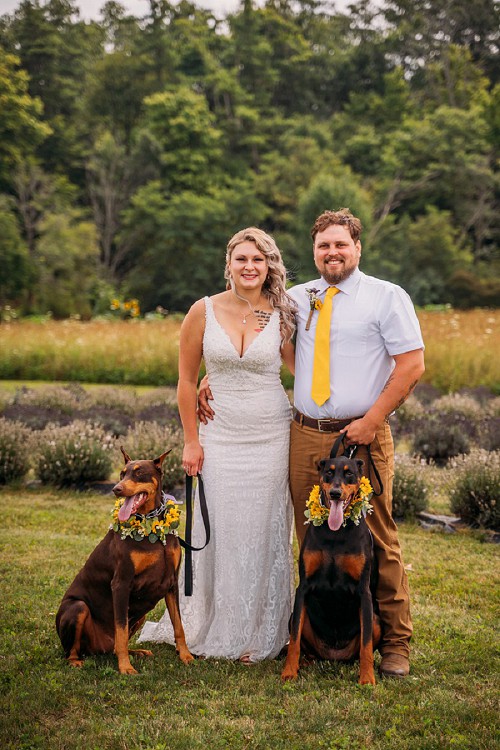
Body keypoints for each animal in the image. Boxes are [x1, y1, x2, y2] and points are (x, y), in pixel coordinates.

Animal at [56, 446, 193, 676]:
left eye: (139, 473)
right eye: (122, 474)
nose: (116, 489)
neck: (152, 528)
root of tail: (99, 649)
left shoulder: (172, 583)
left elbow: (179, 625)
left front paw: (186, 655)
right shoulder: (121, 583)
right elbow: (120, 628)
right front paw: (125, 667)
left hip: (141, 616)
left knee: (114, 645)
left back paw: (137, 652)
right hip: (77, 608)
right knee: (73, 650)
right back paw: (77, 661)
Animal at [280, 458, 380, 688]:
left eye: (349, 473)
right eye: (329, 472)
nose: (335, 493)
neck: (336, 532)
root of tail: (334, 657)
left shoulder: (364, 591)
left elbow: (366, 644)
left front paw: (367, 678)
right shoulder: (303, 588)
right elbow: (295, 639)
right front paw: (289, 672)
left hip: (377, 620)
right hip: (295, 619)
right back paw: (304, 662)